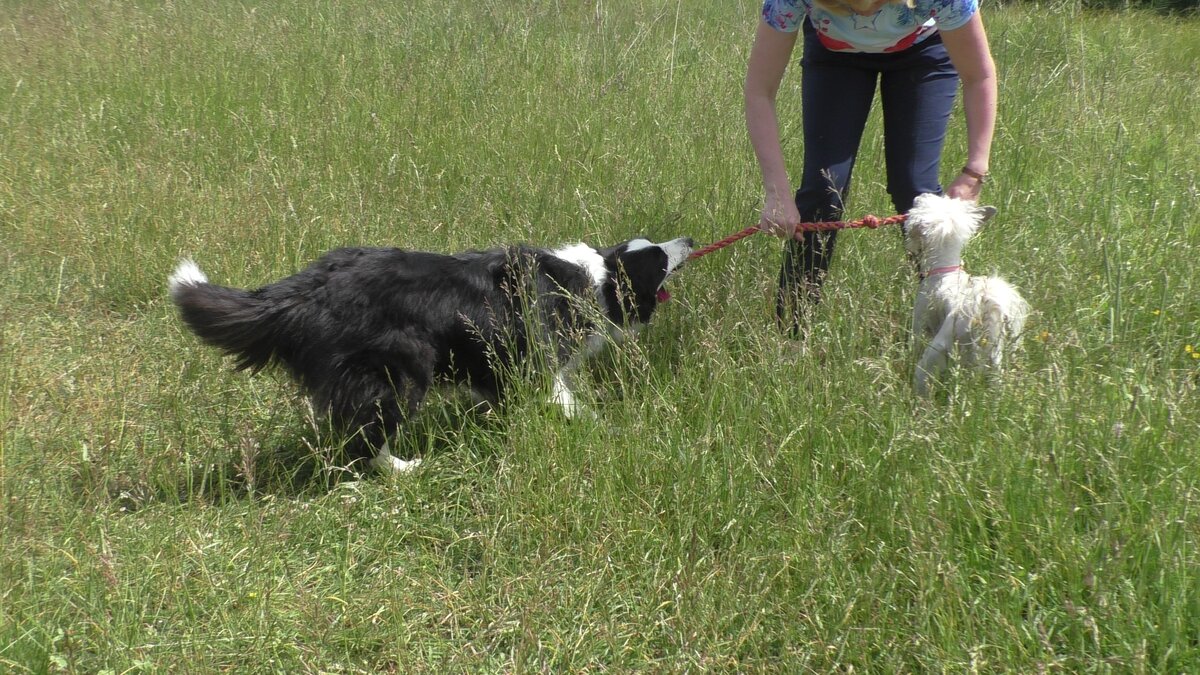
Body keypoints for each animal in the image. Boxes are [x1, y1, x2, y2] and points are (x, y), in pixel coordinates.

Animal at [169, 236, 696, 473]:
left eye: (656, 245)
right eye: (659, 258)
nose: (689, 240)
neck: (596, 282)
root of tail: (307, 289)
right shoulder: (539, 365)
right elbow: (572, 404)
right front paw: (613, 430)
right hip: (401, 367)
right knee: (371, 435)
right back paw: (404, 469)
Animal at [902, 192, 1032, 393]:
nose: (921, 193)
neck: (944, 270)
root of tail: (984, 308)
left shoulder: (919, 319)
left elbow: (913, 344)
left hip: (934, 353)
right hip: (995, 363)